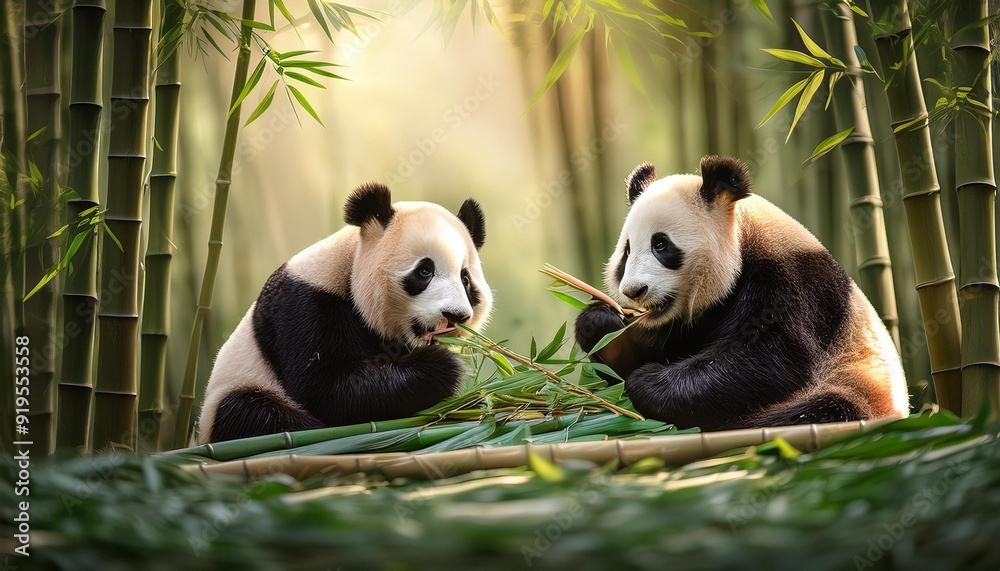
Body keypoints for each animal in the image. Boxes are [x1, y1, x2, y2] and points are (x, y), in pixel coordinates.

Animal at [198, 183, 493, 443]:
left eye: (465, 279)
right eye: (424, 271)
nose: (455, 316)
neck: (351, 266)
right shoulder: (306, 306)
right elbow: (326, 390)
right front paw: (445, 368)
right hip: (237, 392)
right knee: (251, 413)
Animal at [575, 155, 908, 431]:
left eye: (661, 245)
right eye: (626, 252)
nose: (635, 291)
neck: (744, 233)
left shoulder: (791, 283)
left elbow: (772, 358)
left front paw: (647, 382)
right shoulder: (695, 320)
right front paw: (603, 325)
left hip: (858, 387)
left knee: (825, 411)